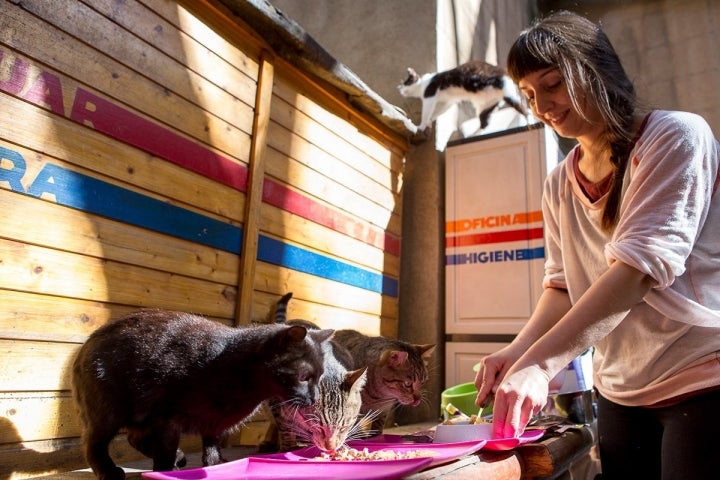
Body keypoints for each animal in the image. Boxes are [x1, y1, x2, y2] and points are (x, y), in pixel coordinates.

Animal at [396, 59, 524, 133]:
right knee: (484, 123)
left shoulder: (429, 96)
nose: (399, 88)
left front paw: (421, 126)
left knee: (523, 110)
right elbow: (436, 112)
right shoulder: (447, 102)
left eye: (405, 83)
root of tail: (504, 72)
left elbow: (426, 113)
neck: (423, 83)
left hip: (503, 91)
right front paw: (429, 123)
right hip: (486, 106)